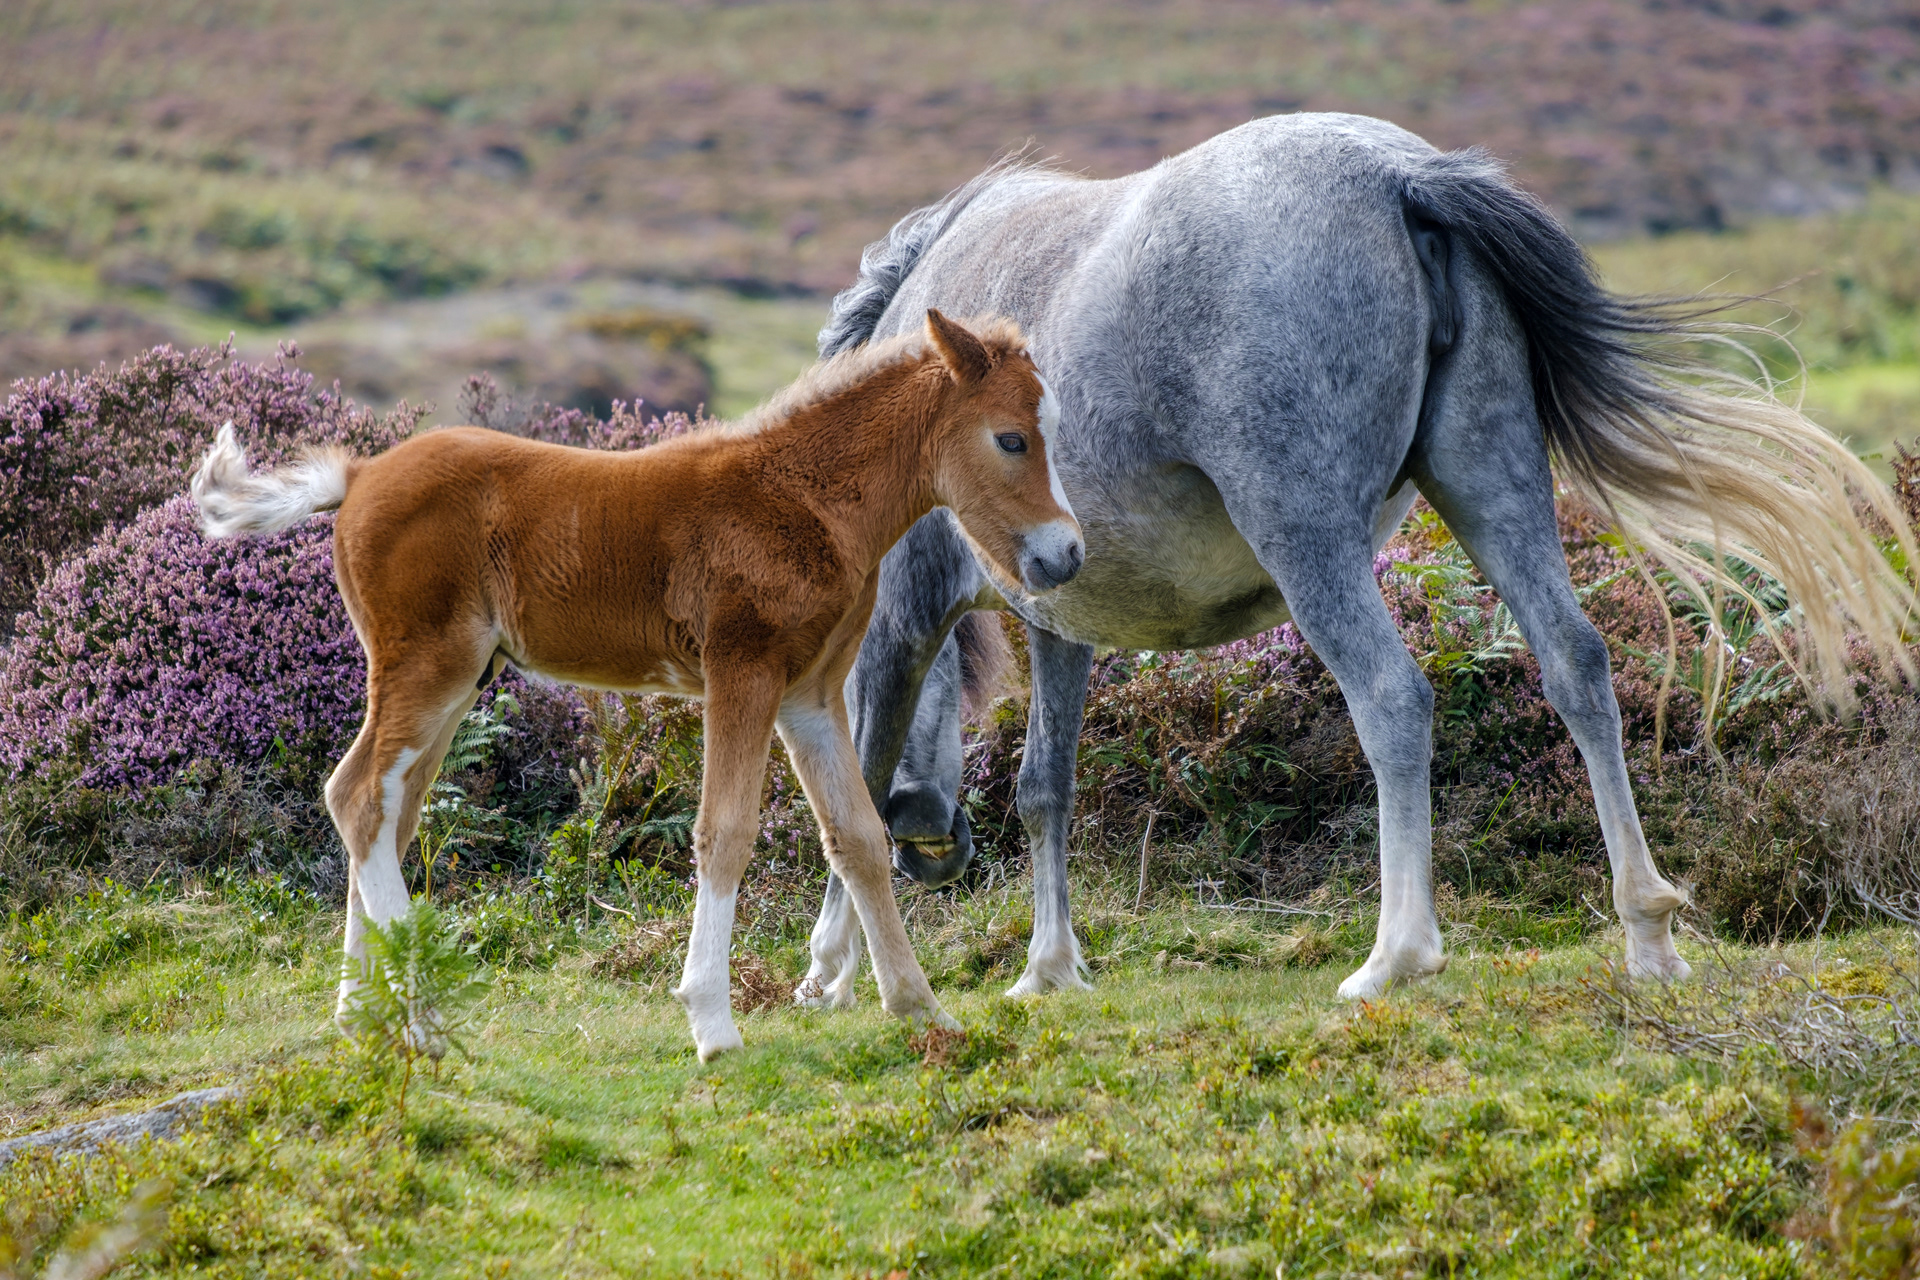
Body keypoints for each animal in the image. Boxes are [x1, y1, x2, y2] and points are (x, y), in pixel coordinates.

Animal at [191, 310, 1083, 1060]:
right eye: (1010, 439)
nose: (1065, 555)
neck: (803, 497)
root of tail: (359, 474)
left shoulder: (809, 695)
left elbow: (858, 836)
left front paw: (921, 1008)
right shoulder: (742, 672)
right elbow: (725, 833)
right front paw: (713, 1023)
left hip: (457, 680)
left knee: (385, 807)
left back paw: (361, 1014)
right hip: (427, 666)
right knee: (358, 796)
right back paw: (421, 1019)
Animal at [796, 113, 1918, 1007]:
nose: (938, 849)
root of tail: (1402, 175)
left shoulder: (903, 619)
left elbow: (861, 781)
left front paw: (837, 970)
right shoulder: (1062, 622)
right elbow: (1045, 788)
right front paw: (1049, 968)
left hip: (1308, 538)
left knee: (1392, 697)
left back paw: (1398, 953)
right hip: (1490, 483)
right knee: (1577, 663)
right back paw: (1645, 928)